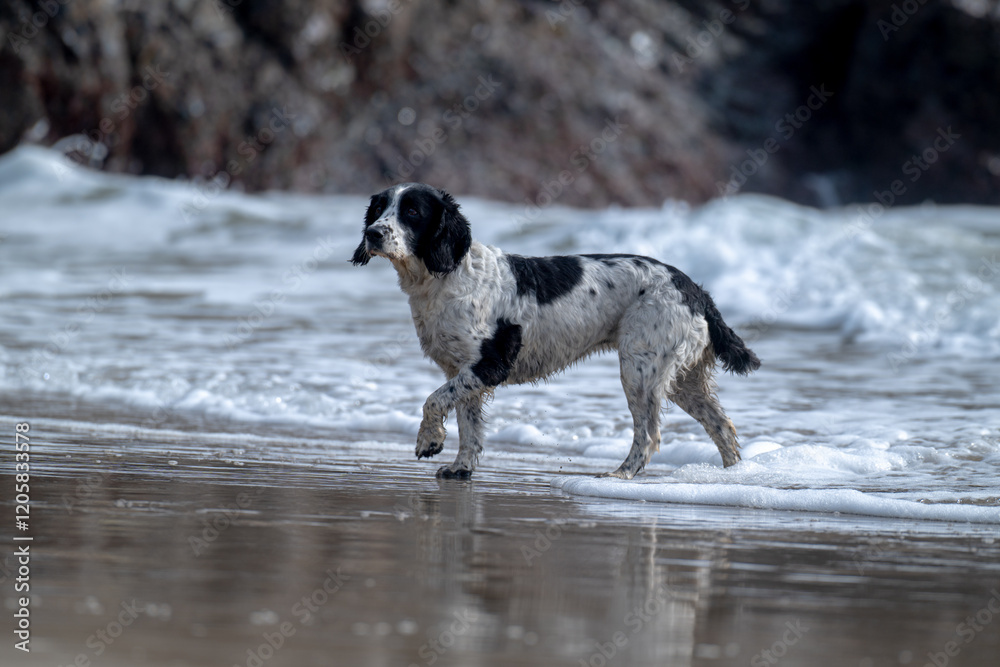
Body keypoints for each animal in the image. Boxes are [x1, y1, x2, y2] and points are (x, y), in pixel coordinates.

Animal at [352, 183, 756, 480]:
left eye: (412, 212)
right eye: (379, 208)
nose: (372, 233)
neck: (448, 274)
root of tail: (693, 288)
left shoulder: (489, 364)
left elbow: (434, 400)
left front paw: (429, 441)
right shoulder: (463, 371)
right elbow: (468, 426)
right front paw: (460, 468)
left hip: (640, 370)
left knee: (649, 434)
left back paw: (621, 474)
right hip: (683, 379)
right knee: (722, 425)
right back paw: (733, 477)